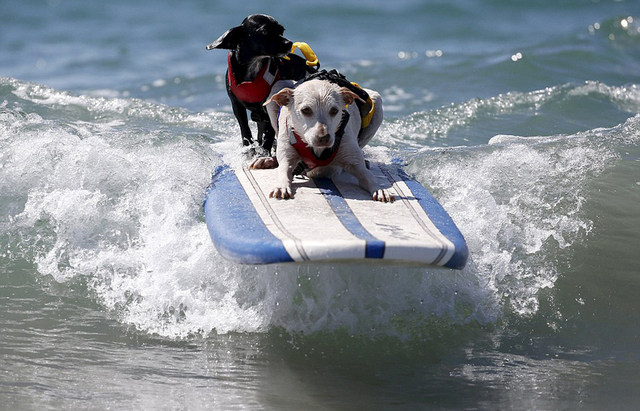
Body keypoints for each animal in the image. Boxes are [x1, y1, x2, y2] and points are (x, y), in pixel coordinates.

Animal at [206, 15, 316, 155]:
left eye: (281, 31)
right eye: (265, 31)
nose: (289, 43)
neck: (253, 66)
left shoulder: (270, 107)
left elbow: (269, 134)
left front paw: (264, 152)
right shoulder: (237, 106)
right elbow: (245, 130)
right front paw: (249, 149)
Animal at [258, 79, 392, 203]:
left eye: (334, 110)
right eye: (306, 110)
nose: (324, 138)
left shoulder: (353, 161)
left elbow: (367, 175)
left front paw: (379, 189)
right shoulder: (287, 154)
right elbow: (284, 169)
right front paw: (282, 187)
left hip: (377, 103)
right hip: (277, 89)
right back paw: (269, 159)